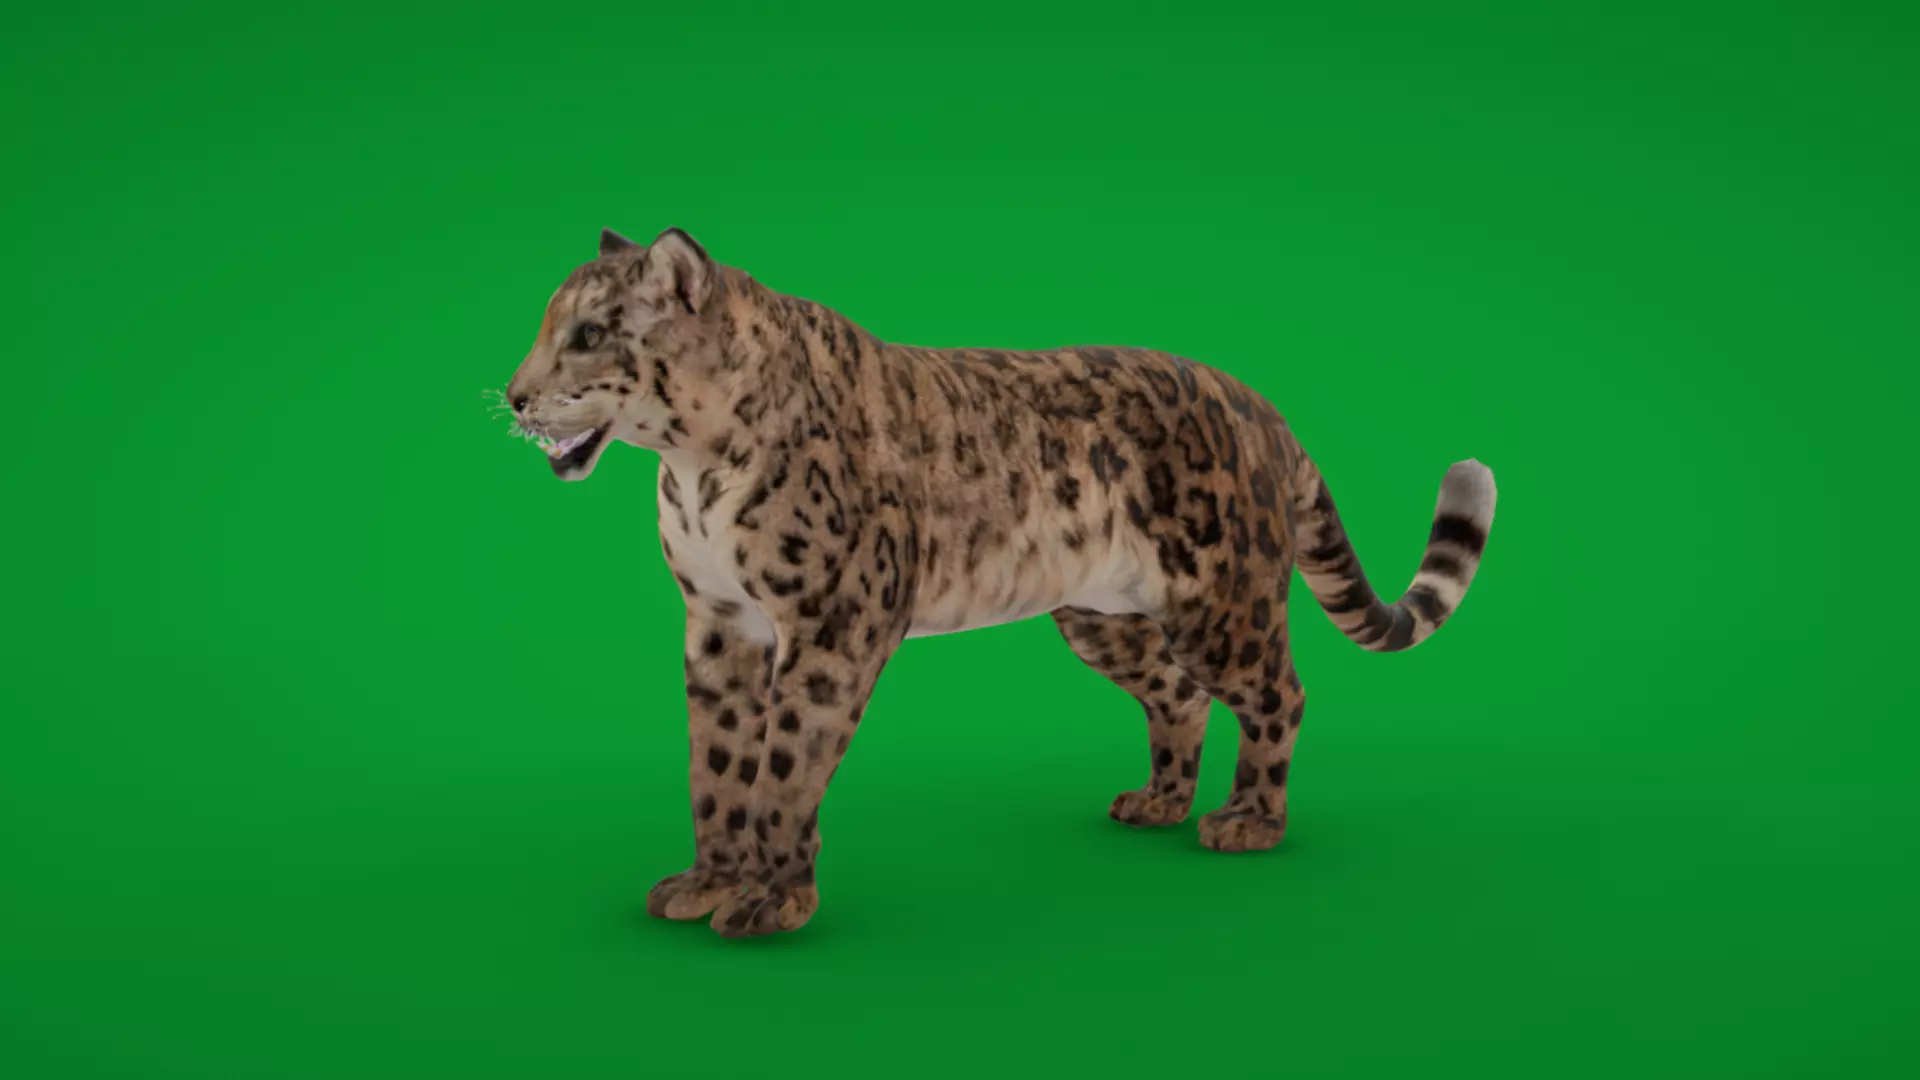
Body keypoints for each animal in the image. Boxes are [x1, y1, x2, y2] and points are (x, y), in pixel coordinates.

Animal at [497, 226, 1498, 939]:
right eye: (549, 327)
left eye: (589, 335)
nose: (511, 397)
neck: (693, 466)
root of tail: (1259, 406)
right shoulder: (719, 627)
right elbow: (714, 765)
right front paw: (709, 880)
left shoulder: (831, 629)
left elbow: (784, 767)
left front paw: (771, 898)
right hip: (1103, 616)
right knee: (1177, 695)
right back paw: (1159, 803)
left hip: (1221, 602)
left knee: (1277, 694)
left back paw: (1247, 818)